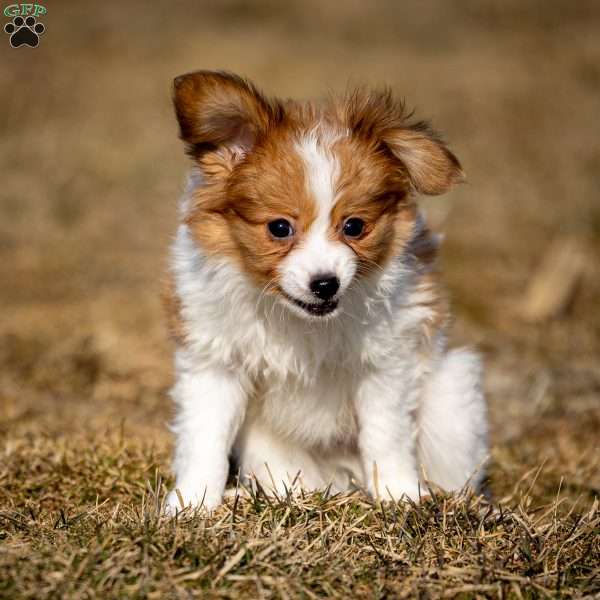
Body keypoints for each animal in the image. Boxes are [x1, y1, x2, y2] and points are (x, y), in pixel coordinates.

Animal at [165, 70, 488, 510]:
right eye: (279, 228)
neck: (303, 323)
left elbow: (385, 436)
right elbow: (205, 440)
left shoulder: (386, 364)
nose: (324, 284)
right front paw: (191, 504)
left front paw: (399, 496)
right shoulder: (216, 363)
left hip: (450, 401)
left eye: (354, 226)